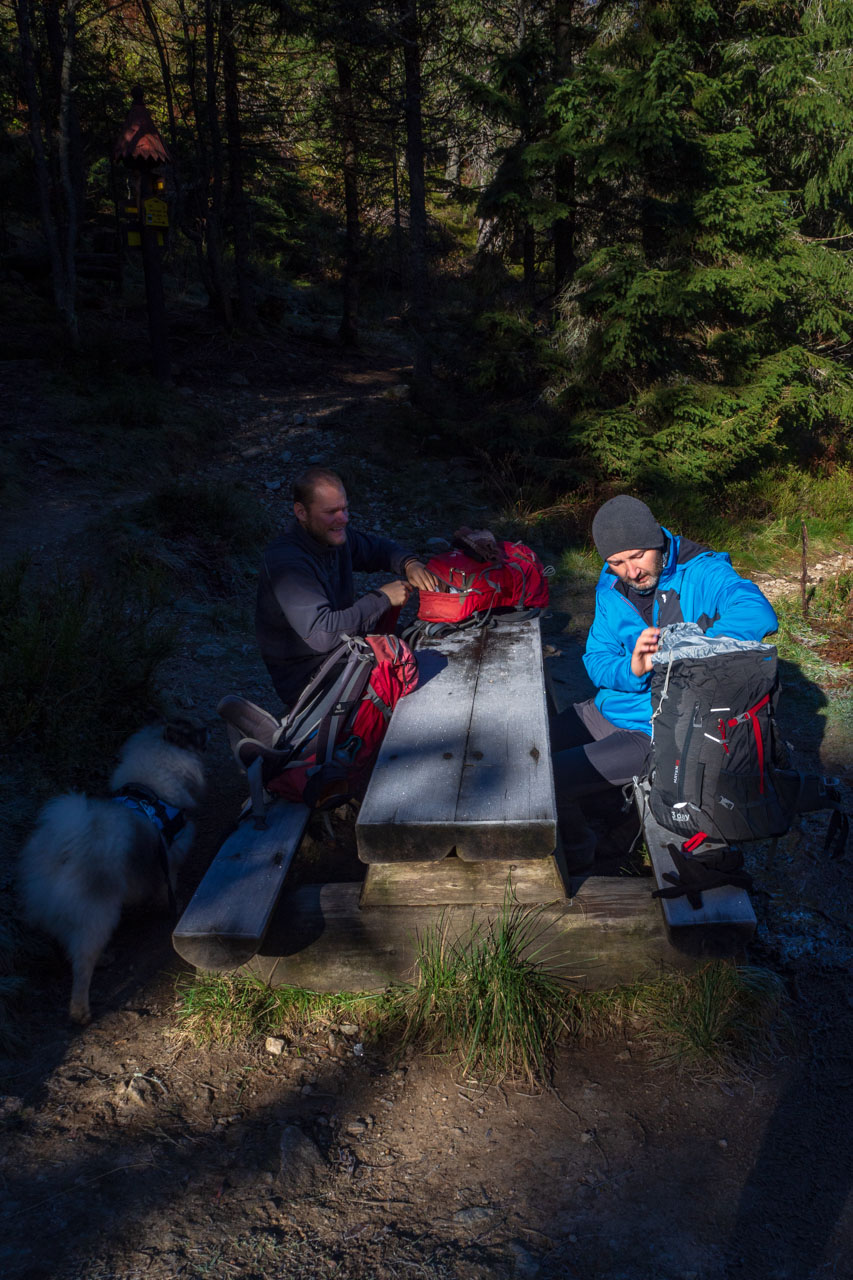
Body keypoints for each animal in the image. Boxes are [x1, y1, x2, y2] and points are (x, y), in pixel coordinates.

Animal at [18, 716, 206, 1024]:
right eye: (193, 733)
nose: (207, 729)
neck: (150, 786)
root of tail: (62, 850)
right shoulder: (170, 859)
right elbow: (168, 887)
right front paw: (172, 906)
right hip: (100, 913)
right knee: (82, 963)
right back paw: (81, 1010)